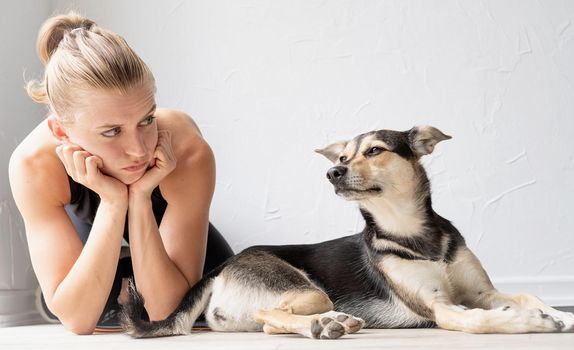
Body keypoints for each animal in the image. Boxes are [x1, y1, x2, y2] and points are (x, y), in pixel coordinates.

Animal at [122, 126, 574, 340]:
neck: (412, 234)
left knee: (270, 324)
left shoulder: (481, 292)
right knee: (269, 314)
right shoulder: (440, 307)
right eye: (342, 156)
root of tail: (221, 268)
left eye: (374, 150)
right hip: (308, 290)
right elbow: (480, 321)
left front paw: (556, 313)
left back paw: (333, 323)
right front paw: (531, 322)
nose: (333, 172)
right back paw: (323, 326)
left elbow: (525, 295)